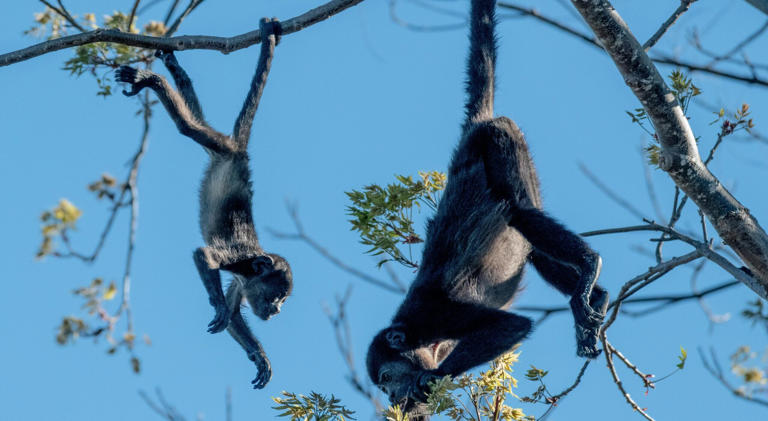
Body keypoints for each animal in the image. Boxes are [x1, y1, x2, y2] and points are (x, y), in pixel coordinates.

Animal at [115, 18, 292, 388]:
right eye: (277, 296)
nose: (278, 310)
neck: (255, 263)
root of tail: (239, 152)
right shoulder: (241, 263)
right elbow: (203, 256)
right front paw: (218, 306)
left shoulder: (242, 281)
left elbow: (237, 314)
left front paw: (260, 357)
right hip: (221, 146)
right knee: (188, 126)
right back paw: (152, 80)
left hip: (218, 148)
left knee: (194, 115)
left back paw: (175, 69)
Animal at [364, 0, 608, 414]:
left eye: (385, 378)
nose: (393, 397)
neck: (415, 334)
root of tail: (476, 127)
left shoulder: (435, 315)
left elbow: (512, 326)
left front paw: (431, 380)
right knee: (533, 246)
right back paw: (599, 296)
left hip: (502, 137)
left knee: (521, 210)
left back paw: (589, 267)